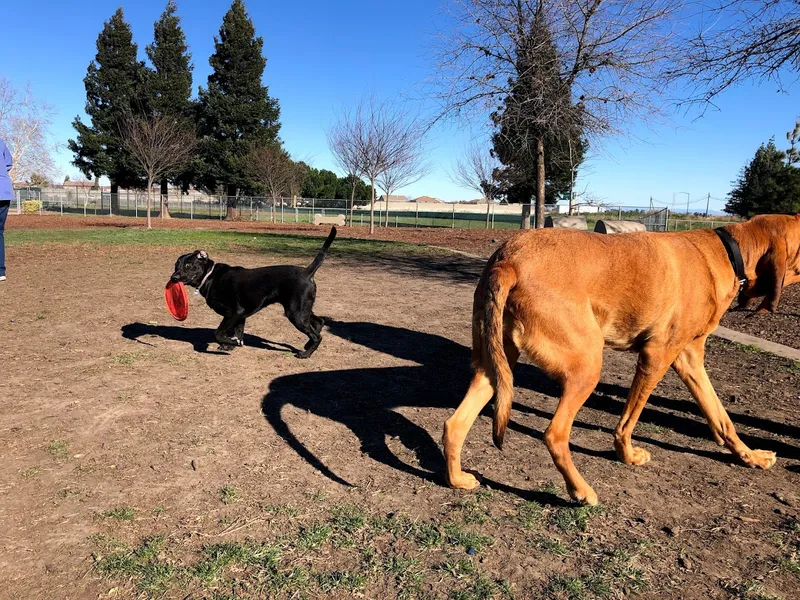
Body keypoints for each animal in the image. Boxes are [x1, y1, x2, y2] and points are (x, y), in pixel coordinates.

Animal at [172, 225, 338, 356]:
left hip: (295, 313)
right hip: (302, 308)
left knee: (317, 335)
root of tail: (307, 272)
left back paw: (306, 354)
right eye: (176, 265)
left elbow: (218, 333)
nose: (173, 277)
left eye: (188, 265)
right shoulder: (240, 316)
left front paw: (230, 343)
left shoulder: (234, 312)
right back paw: (307, 345)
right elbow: (238, 333)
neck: (211, 276)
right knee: (319, 322)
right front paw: (231, 344)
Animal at [444, 213, 800, 504]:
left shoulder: (689, 359)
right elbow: (629, 419)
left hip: (496, 364)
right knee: (554, 435)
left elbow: (721, 417)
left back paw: (457, 479)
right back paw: (581, 491)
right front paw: (627, 455)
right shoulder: (656, 356)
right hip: (587, 366)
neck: (729, 251)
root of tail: (508, 261)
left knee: (454, 423)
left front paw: (751, 456)